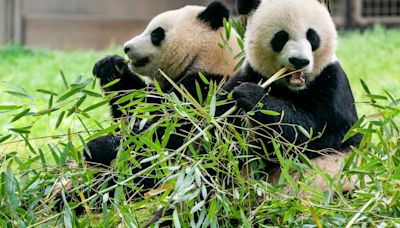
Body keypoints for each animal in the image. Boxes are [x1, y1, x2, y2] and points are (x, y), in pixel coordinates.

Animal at [216, 0, 362, 196]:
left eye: (312, 36)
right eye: (281, 37)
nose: (299, 61)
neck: (293, 89)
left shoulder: (333, 85)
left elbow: (315, 133)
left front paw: (252, 96)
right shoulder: (250, 74)